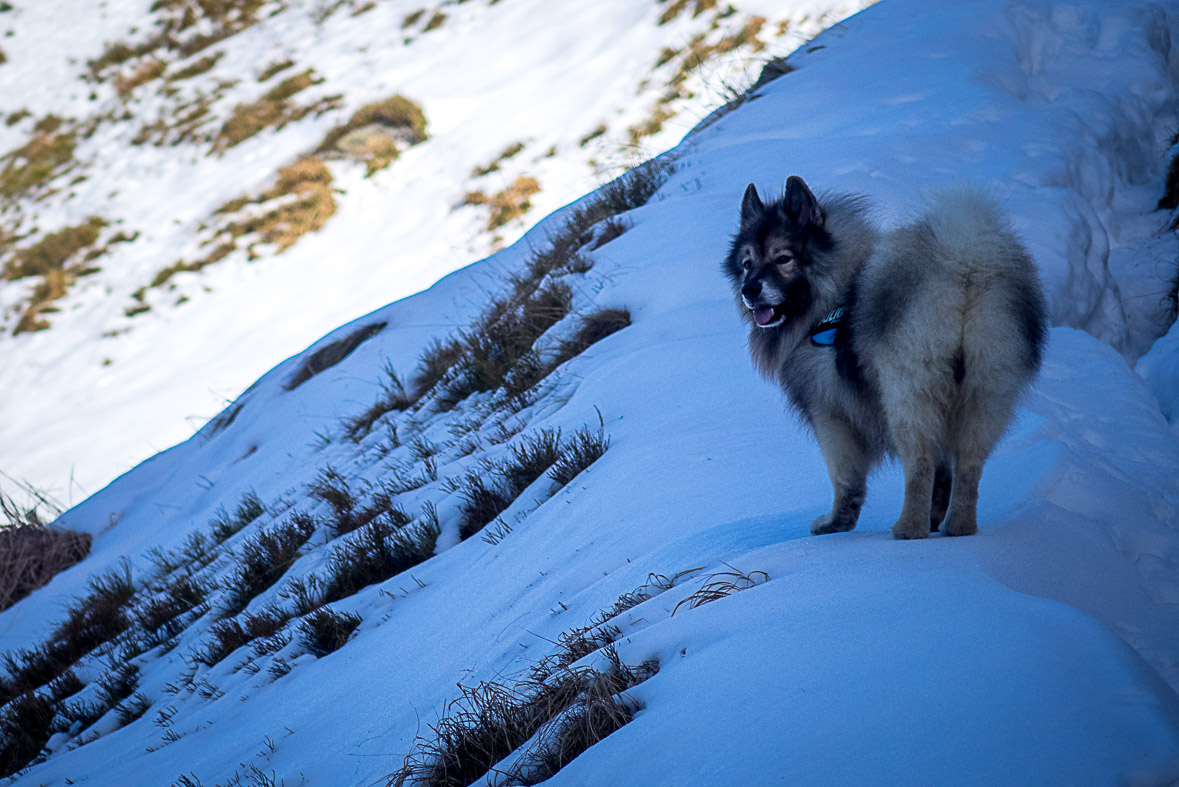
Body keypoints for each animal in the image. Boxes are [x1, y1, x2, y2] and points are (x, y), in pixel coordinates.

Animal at [721, 175, 1046, 537]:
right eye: (747, 264)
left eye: (783, 258)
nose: (750, 289)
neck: (834, 293)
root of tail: (964, 266)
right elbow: (944, 473)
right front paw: (937, 514)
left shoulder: (828, 413)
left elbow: (844, 476)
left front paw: (835, 523)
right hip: (985, 389)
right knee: (969, 465)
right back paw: (957, 527)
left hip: (907, 394)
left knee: (920, 461)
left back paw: (909, 528)